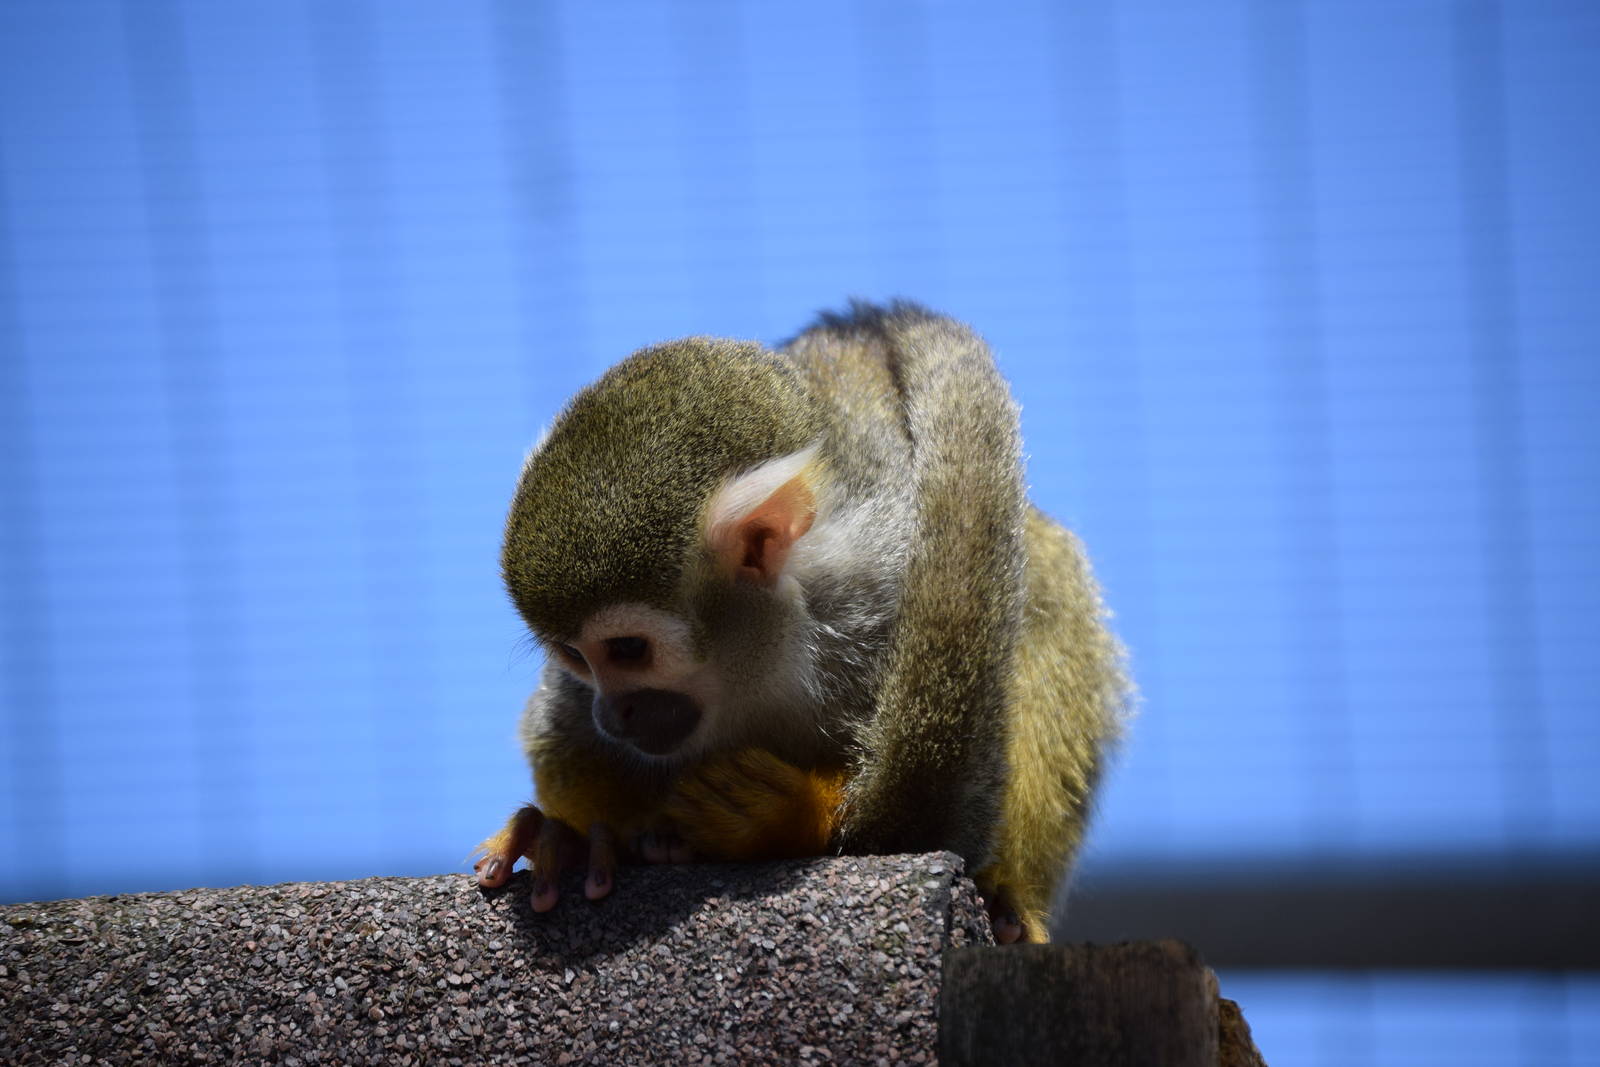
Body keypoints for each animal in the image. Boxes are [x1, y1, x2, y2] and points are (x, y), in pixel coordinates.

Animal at [474, 302, 1128, 943]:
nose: (611, 716)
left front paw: (789, 819)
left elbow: (957, 818)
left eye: (629, 649)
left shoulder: (878, 591)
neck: (759, 661)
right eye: (575, 658)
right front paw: (577, 840)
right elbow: (559, 742)